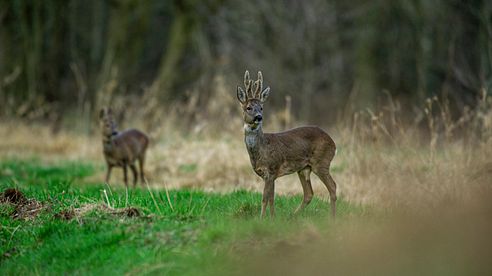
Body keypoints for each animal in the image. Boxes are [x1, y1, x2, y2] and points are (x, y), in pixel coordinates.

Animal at [235, 70, 336, 218]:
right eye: (248, 107)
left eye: (261, 107)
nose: (259, 117)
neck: (261, 150)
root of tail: (333, 143)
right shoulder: (269, 175)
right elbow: (271, 198)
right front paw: (272, 218)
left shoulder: (271, 170)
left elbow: (265, 198)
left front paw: (261, 219)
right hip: (304, 168)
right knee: (309, 193)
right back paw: (292, 216)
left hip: (321, 162)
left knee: (333, 187)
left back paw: (331, 218)